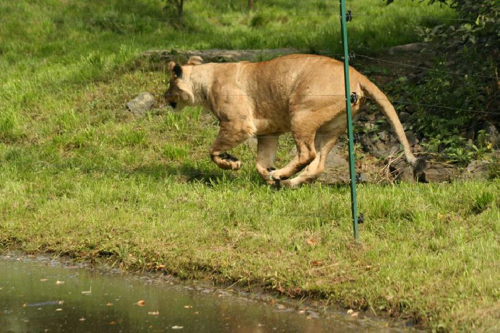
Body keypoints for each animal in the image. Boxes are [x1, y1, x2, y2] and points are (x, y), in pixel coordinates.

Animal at [166, 53, 424, 185]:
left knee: (307, 154)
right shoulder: (267, 133)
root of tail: (357, 74)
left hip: (301, 113)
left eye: (170, 84)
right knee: (317, 165)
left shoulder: (238, 125)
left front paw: (232, 163)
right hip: (331, 129)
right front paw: (267, 177)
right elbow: (260, 162)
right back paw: (287, 182)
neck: (206, 80)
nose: (165, 96)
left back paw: (282, 175)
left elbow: (213, 150)